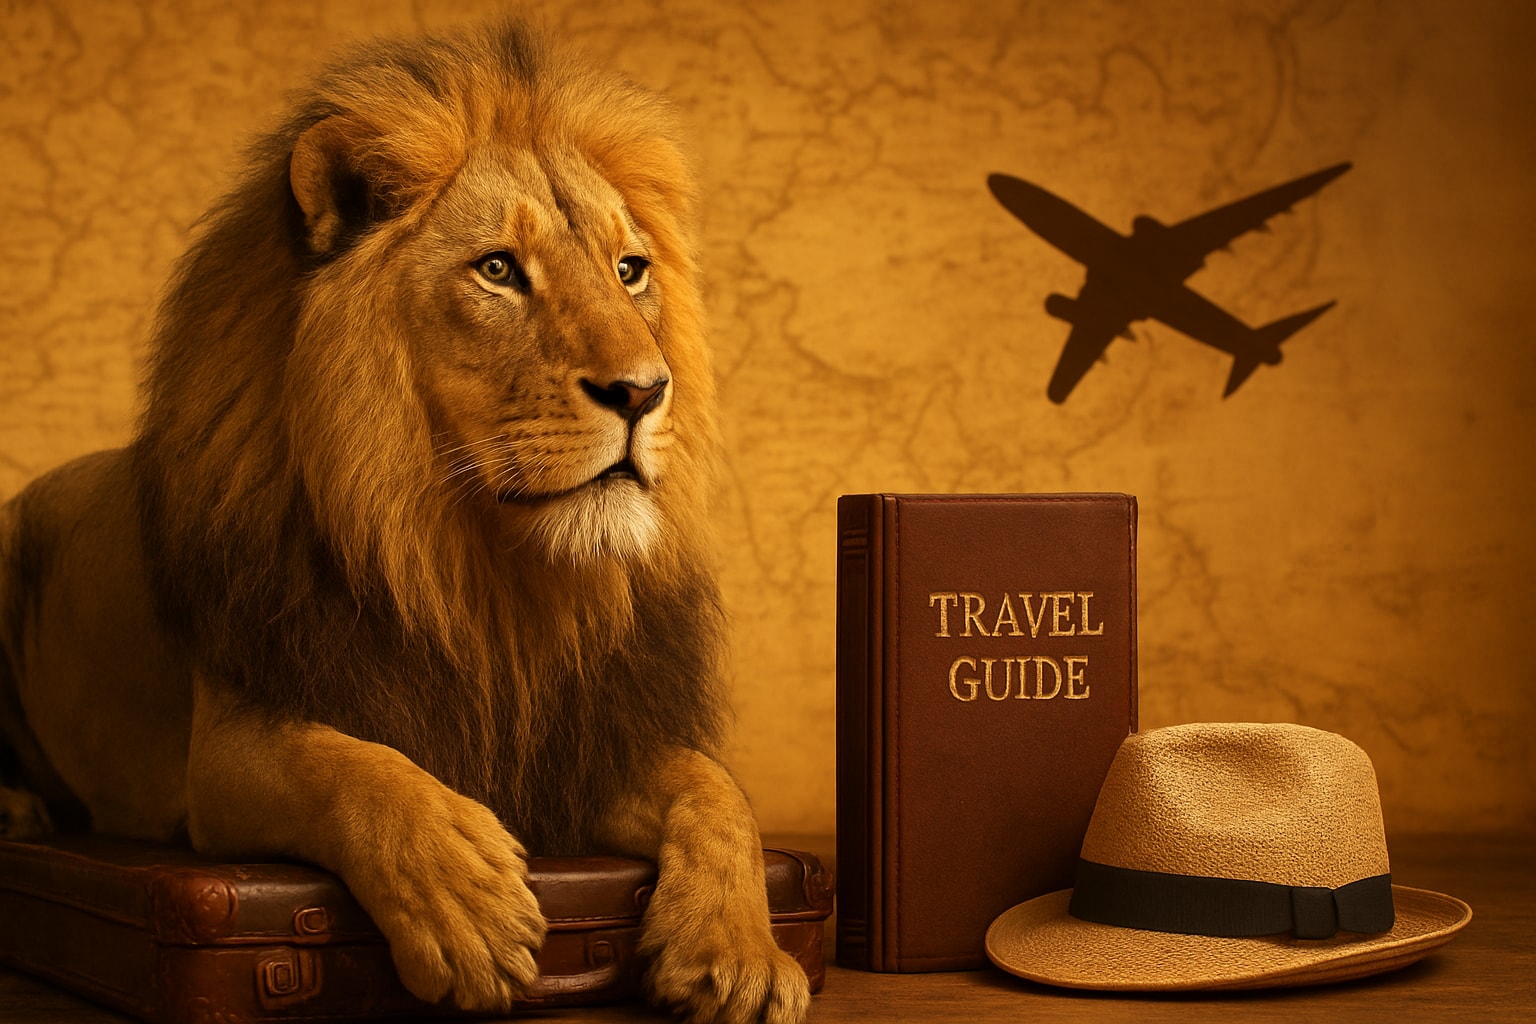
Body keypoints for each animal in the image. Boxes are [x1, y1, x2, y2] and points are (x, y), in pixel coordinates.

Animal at [0, 20, 810, 1024]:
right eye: (499, 270)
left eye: (630, 271)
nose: (644, 390)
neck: (482, 568)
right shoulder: (225, 752)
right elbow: (350, 767)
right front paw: (466, 901)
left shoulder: (574, 746)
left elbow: (718, 788)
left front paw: (738, 952)